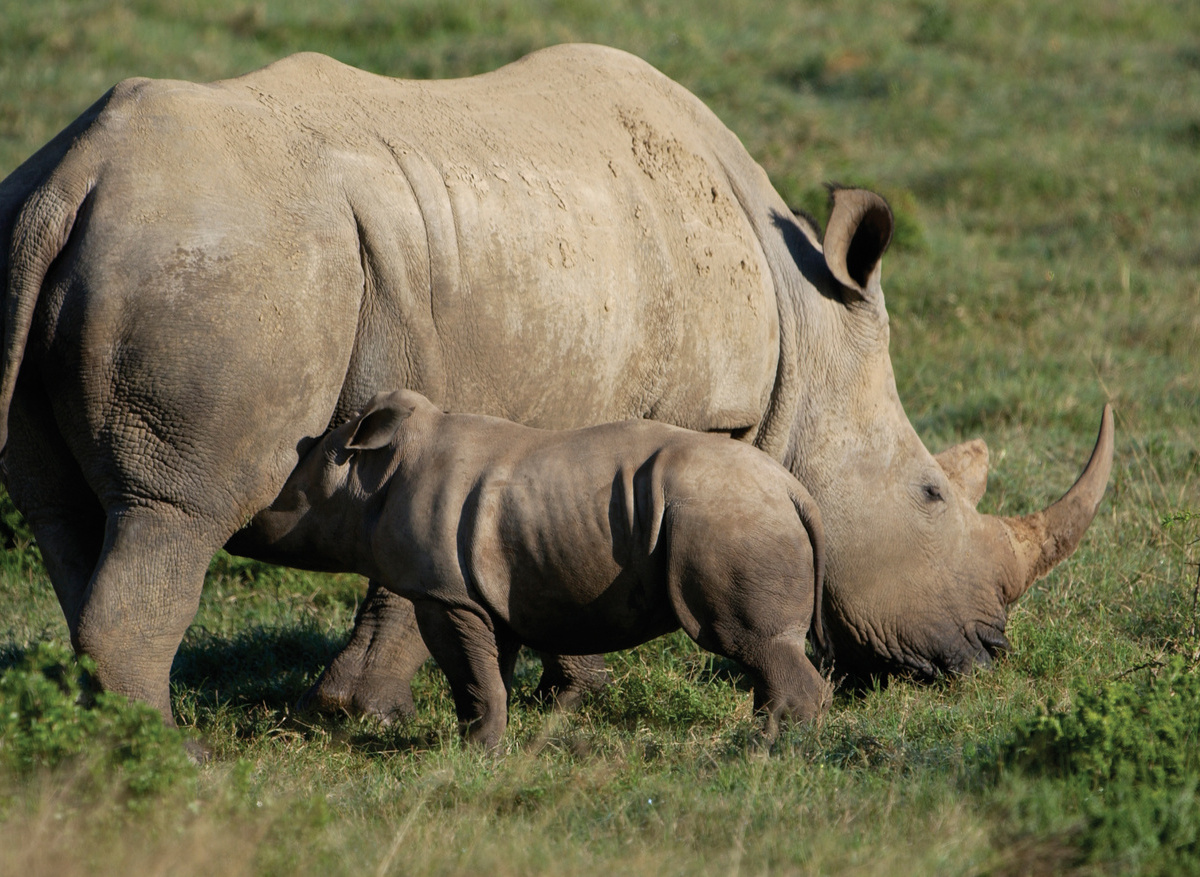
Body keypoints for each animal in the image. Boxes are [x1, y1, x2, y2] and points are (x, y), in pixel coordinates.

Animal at [251, 389, 828, 747]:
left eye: (292, 488)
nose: (246, 530)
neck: (375, 471)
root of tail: (794, 490)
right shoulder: (481, 592)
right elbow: (487, 671)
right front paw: (484, 741)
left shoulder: (444, 593)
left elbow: (467, 670)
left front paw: (473, 751)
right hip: (740, 514)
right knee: (761, 649)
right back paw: (773, 742)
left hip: (732, 519)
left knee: (746, 640)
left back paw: (770, 749)